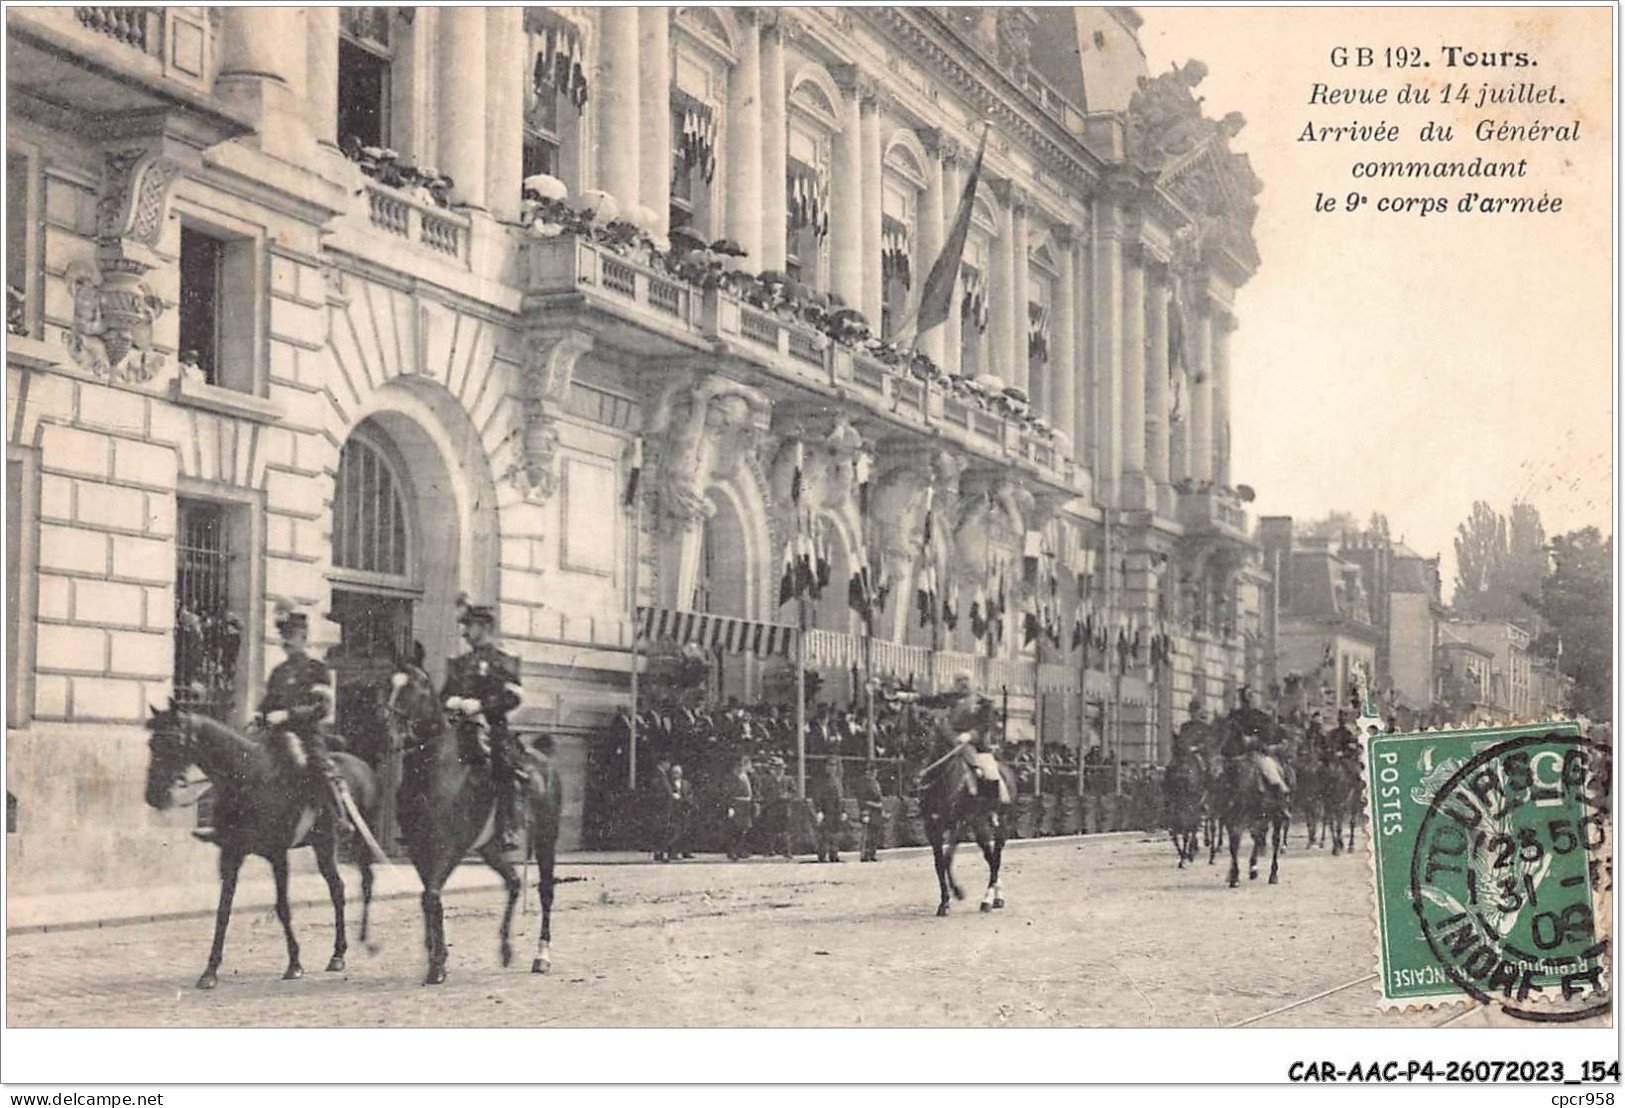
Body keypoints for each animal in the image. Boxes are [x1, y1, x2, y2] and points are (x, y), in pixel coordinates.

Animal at [140, 698, 380, 981]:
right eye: (151, 743)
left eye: (175, 741)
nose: (153, 795)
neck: (248, 778)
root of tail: (364, 767)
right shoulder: (231, 854)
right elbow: (223, 910)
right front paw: (210, 970)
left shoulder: (278, 855)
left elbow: (283, 907)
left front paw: (294, 963)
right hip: (322, 845)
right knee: (337, 889)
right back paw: (338, 954)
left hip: (355, 843)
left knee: (363, 883)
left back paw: (358, 944)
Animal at [383, 659, 562, 981]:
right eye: (389, 684)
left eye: (414, 689)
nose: (390, 733)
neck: (436, 772)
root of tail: (545, 760)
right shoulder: (418, 849)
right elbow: (428, 898)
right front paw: (435, 956)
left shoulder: (450, 849)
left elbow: (431, 896)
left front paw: (438, 964)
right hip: (490, 848)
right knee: (514, 882)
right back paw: (505, 950)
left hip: (546, 839)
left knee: (545, 892)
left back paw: (542, 957)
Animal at [923, 740, 1007, 916]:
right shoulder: (932, 829)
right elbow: (939, 864)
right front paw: (944, 902)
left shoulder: (958, 826)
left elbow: (947, 859)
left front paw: (957, 893)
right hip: (980, 828)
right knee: (991, 857)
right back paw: (995, 897)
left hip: (1000, 826)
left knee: (995, 858)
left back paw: (988, 900)